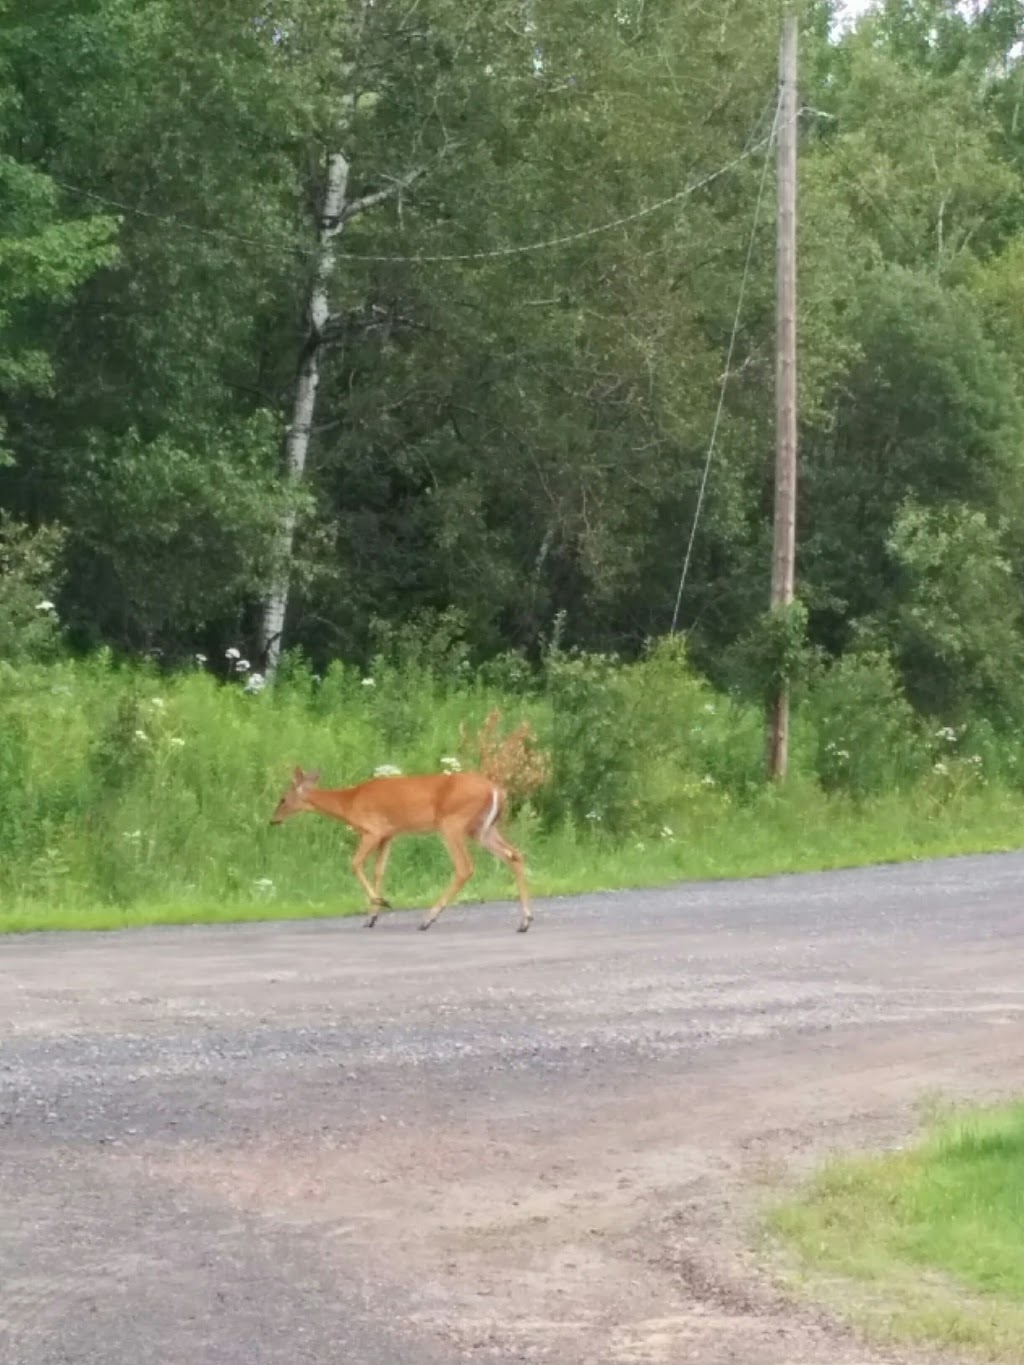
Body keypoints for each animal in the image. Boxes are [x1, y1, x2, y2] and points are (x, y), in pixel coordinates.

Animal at [268, 769, 532, 928]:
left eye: (282, 799)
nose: (273, 820)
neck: (349, 802)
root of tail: (496, 790)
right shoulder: (389, 835)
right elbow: (379, 871)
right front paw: (372, 917)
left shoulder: (373, 830)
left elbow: (354, 864)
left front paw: (382, 903)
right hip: (483, 829)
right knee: (515, 855)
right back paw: (525, 920)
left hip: (453, 824)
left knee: (465, 867)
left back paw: (428, 918)